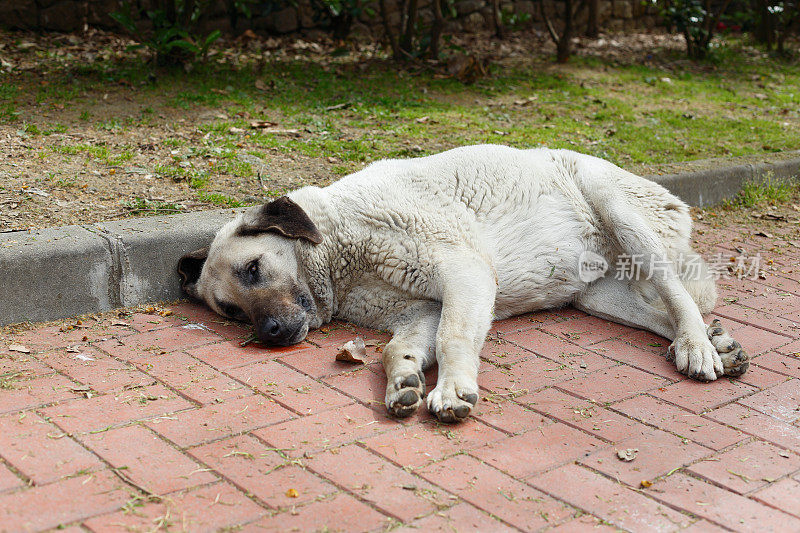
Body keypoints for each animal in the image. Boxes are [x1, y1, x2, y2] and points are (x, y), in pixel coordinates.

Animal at [180, 143, 752, 422]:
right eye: (231, 312)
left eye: (254, 269)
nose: (270, 334)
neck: (341, 241)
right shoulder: (420, 310)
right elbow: (397, 349)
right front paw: (405, 381)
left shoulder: (464, 275)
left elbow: (455, 337)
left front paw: (452, 388)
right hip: (597, 294)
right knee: (659, 311)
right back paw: (715, 343)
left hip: (620, 212)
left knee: (677, 294)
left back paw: (698, 347)